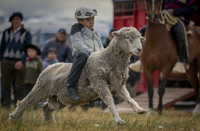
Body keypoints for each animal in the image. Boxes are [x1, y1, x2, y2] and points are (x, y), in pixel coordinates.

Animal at [9, 26, 145, 124]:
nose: (140, 50)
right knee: (24, 103)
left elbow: (129, 98)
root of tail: (49, 66)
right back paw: (13, 119)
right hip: (40, 89)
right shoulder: (99, 82)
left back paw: (51, 123)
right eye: (127, 37)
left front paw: (139, 109)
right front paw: (118, 120)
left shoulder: (118, 86)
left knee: (47, 107)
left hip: (59, 98)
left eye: (139, 38)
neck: (109, 60)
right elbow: (110, 101)